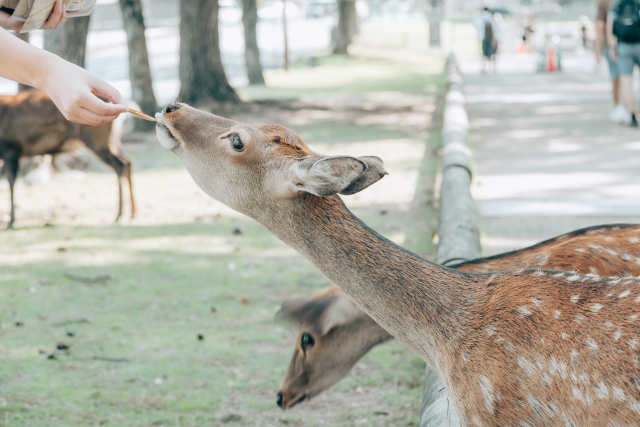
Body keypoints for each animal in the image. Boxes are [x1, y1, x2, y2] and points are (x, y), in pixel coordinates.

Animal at [0, 90, 136, 229]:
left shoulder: (11, 149)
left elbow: (11, 182)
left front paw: (11, 221)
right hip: (112, 140)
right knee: (127, 161)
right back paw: (132, 212)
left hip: (98, 138)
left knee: (120, 164)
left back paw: (119, 214)